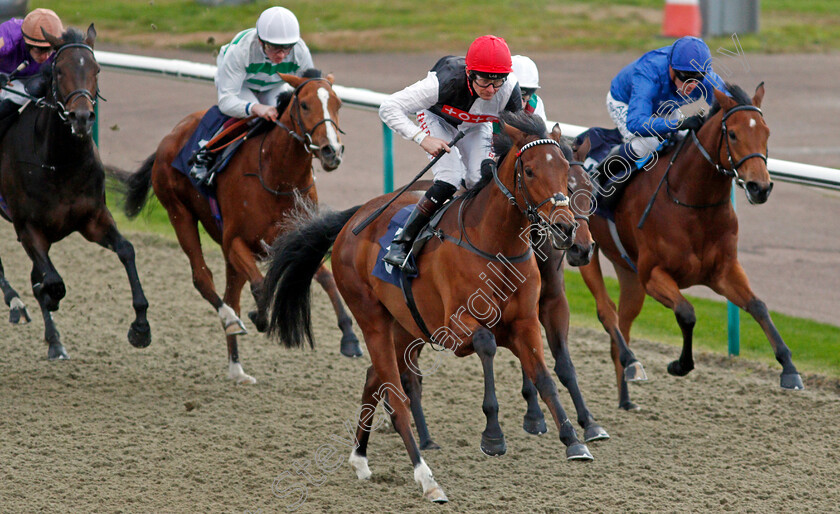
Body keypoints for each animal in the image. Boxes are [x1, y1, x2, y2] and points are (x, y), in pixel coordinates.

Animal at [0, 26, 151, 358]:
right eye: (59, 71)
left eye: (97, 69)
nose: (81, 118)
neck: (59, 163)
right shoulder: (28, 228)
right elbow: (53, 281)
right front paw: (49, 297)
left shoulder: (92, 218)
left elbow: (127, 250)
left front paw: (140, 327)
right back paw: (16, 302)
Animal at [123, 70, 360, 382]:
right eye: (305, 105)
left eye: (338, 104)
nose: (332, 151)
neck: (277, 178)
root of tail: (170, 137)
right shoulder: (235, 241)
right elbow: (260, 285)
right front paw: (259, 317)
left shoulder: (298, 239)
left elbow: (327, 278)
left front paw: (350, 338)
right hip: (179, 214)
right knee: (203, 279)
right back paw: (231, 321)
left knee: (230, 294)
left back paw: (236, 367)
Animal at [266, 112, 592, 500]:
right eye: (529, 171)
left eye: (564, 170)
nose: (565, 229)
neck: (495, 244)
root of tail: (354, 218)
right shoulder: (456, 328)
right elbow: (487, 344)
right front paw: (493, 436)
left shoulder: (525, 322)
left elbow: (545, 377)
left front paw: (573, 439)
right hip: (373, 319)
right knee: (397, 397)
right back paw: (426, 477)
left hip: (404, 328)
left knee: (374, 380)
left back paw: (360, 458)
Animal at [576, 82, 804, 408]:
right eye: (733, 134)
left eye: (766, 132)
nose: (760, 187)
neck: (693, 203)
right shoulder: (653, 275)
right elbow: (687, 312)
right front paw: (680, 365)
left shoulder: (723, 272)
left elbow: (758, 306)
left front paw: (789, 369)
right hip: (586, 252)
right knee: (607, 313)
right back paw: (632, 362)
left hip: (628, 270)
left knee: (624, 322)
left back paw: (627, 395)